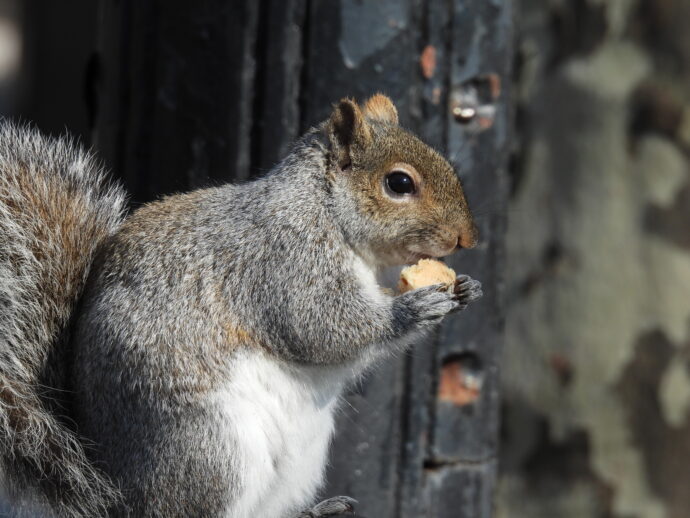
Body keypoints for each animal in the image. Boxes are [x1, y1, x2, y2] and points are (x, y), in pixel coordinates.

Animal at [0, 94, 481, 517]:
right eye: (399, 183)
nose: (467, 239)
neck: (324, 209)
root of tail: (114, 497)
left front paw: (466, 289)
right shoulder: (287, 260)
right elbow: (324, 327)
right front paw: (416, 307)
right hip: (213, 451)